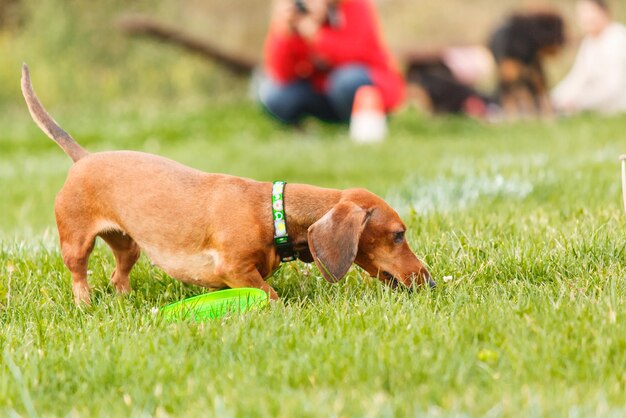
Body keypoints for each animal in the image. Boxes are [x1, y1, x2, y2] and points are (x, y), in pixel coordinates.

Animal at [20, 64, 434, 304]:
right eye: (398, 235)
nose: (430, 283)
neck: (272, 212)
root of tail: (83, 158)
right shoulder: (236, 270)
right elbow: (269, 295)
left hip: (129, 245)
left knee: (118, 273)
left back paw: (123, 301)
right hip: (76, 242)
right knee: (79, 274)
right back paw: (85, 305)